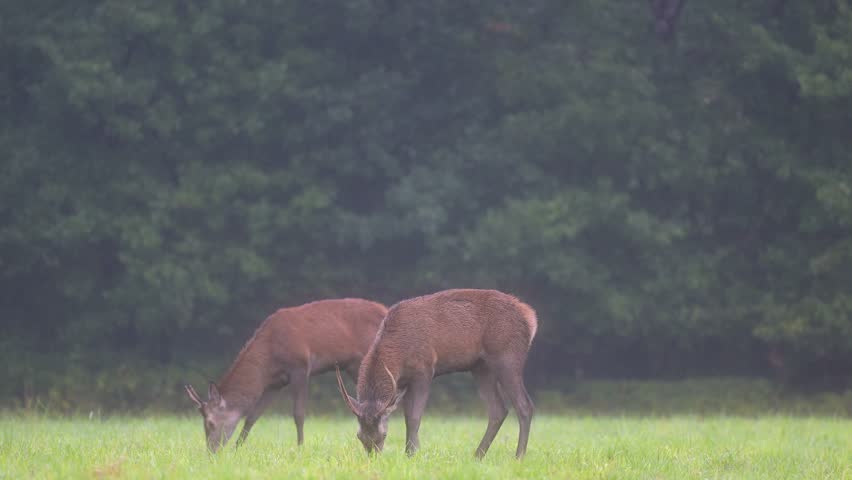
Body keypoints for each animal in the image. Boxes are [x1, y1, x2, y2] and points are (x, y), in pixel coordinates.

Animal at [184, 298, 387, 452]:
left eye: (210, 423)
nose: (211, 451)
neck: (269, 358)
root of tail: (385, 308)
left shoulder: (300, 367)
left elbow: (298, 413)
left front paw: (300, 448)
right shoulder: (275, 383)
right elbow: (252, 415)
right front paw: (237, 448)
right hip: (353, 366)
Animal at [336, 288, 537, 459]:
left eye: (384, 434)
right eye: (359, 436)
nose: (373, 457)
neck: (399, 354)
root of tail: (530, 316)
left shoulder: (424, 370)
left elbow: (414, 416)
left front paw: (412, 454)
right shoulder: (403, 382)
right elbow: (407, 416)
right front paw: (412, 451)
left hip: (507, 356)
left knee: (524, 405)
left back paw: (519, 456)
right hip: (480, 367)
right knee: (498, 409)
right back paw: (477, 455)